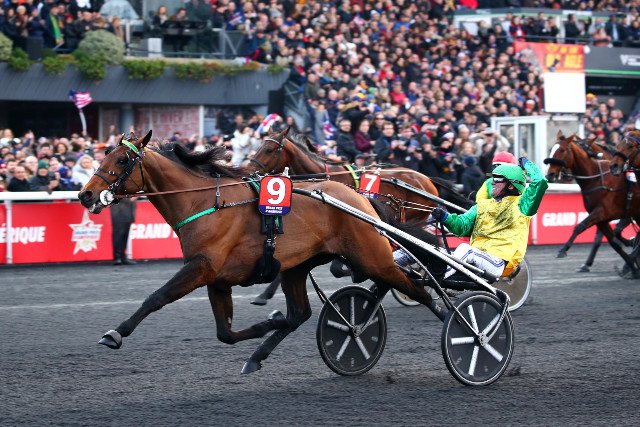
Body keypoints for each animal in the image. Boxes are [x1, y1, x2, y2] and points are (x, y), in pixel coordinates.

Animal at [77, 130, 447, 373]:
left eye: (121, 159)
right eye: (103, 156)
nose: (85, 194)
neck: (205, 203)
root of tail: (360, 199)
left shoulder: (202, 267)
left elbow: (156, 297)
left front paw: (115, 333)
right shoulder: (218, 278)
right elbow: (226, 334)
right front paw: (270, 321)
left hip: (371, 256)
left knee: (416, 286)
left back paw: (453, 322)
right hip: (299, 266)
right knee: (301, 314)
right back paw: (259, 353)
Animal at [544, 131, 640, 276]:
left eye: (562, 150)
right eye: (551, 149)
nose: (550, 174)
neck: (596, 178)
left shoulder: (602, 212)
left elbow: (580, 227)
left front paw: (563, 250)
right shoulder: (601, 218)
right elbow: (613, 242)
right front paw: (631, 266)